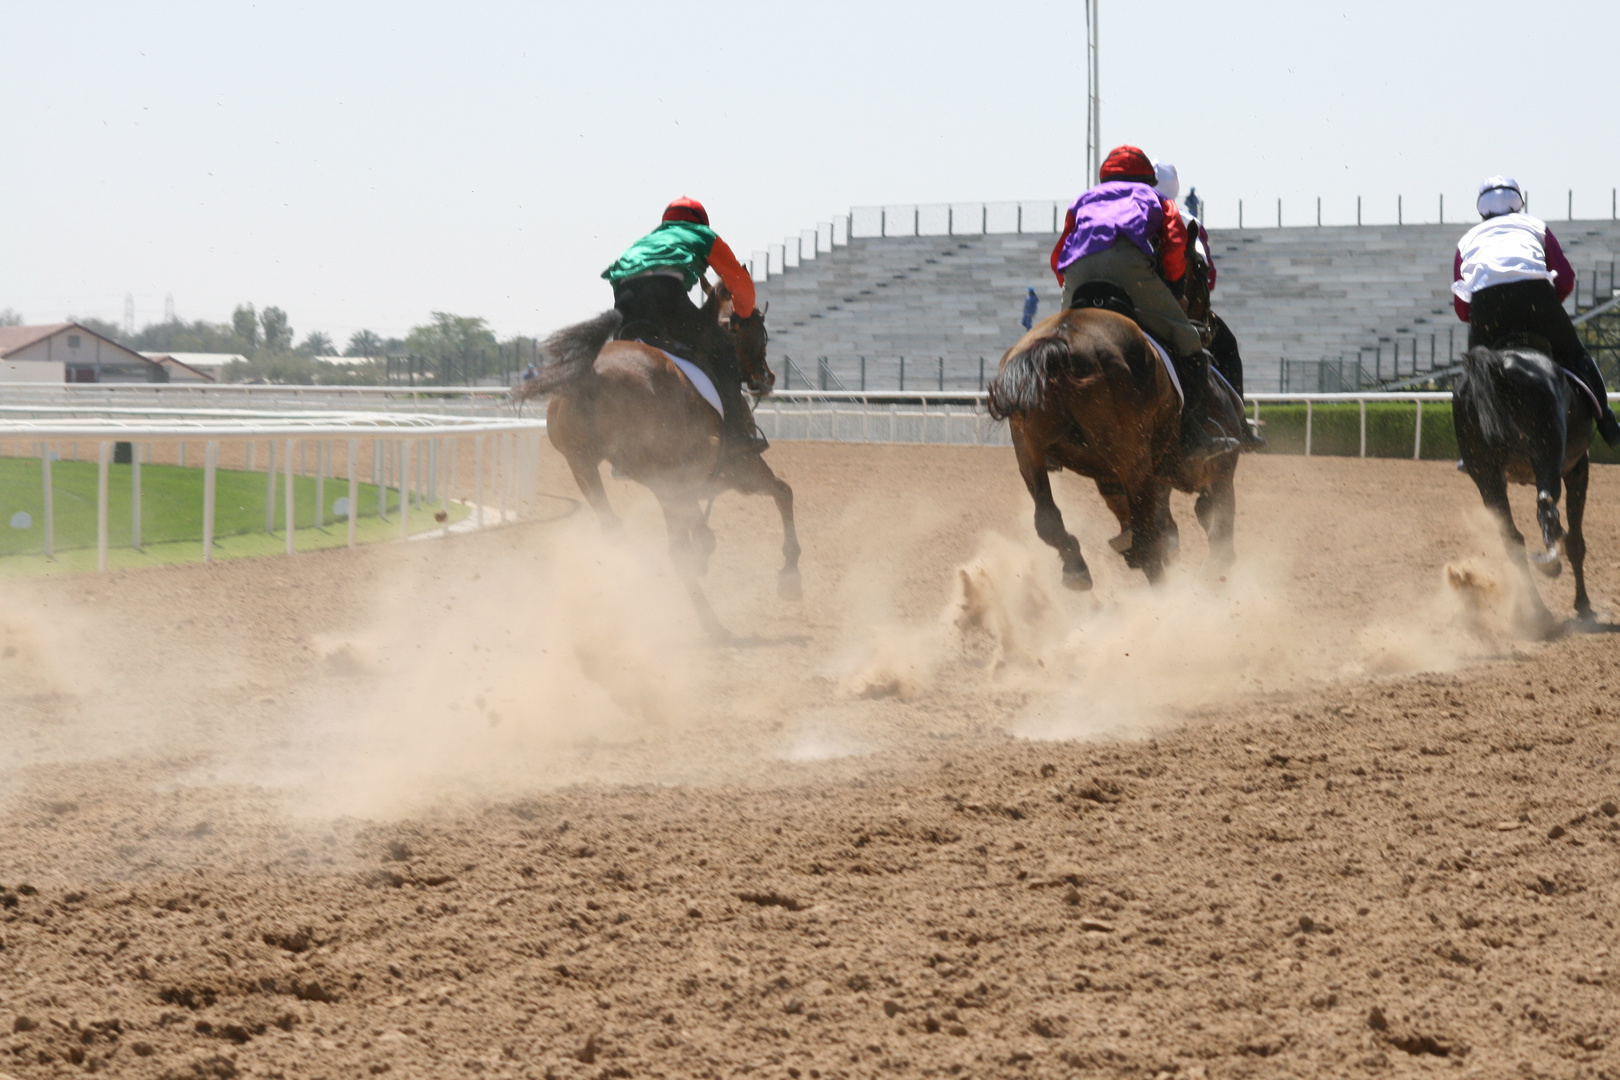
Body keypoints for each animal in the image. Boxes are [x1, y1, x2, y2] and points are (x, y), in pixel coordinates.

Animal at [515, 281, 800, 641]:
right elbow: (784, 492)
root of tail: (590, 374)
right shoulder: (742, 470)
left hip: (586, 466)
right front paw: (789, 575)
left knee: (620, 530)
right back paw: (711, 621)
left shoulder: (689, 484)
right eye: (759, 325)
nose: (767, 376)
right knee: (677, 547)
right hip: (663, 475)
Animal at [984, 259, 1237, 586]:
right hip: (1133, 459)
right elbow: (1213, 523)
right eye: (1203, 269)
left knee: (1048, 519)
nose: (1210, 323)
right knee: (1147, 541)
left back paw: (1077, 567)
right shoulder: (1219, 467)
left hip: (1028, 448)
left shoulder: (1113, 479)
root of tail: (1059, 344)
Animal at [1458, 338, 1594, 625]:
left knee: (1512, 536)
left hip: (1487, 478)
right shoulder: (1577, 467)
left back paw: (1539, 611)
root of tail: (1500, 363)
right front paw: (1583, 604)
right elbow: (1576, 540)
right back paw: (1551, 563)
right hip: (1547, 456)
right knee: (1546, 508)